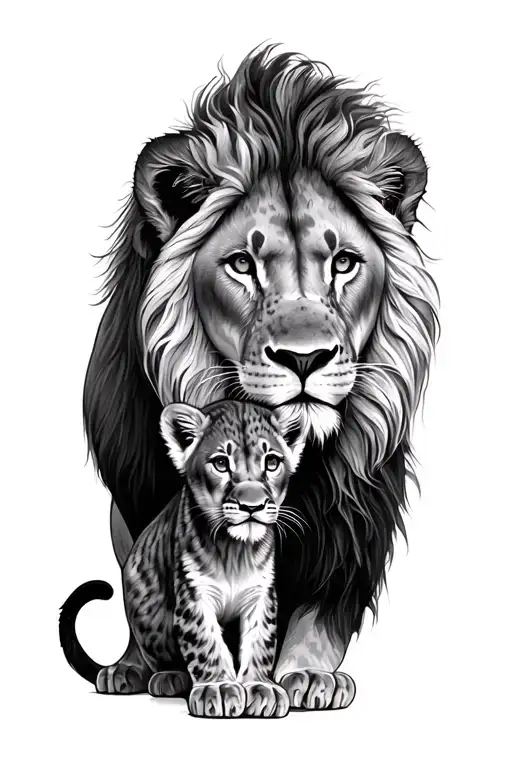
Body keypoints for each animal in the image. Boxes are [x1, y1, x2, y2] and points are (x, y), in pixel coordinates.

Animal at [60, 45, 439, 709]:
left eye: (344, 262)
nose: (306, 358)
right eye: (241, 263)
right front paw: (151, 667)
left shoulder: (351, 520)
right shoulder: (140, 499)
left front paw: (307, 673)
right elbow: (146, 574)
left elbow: (318, 609)